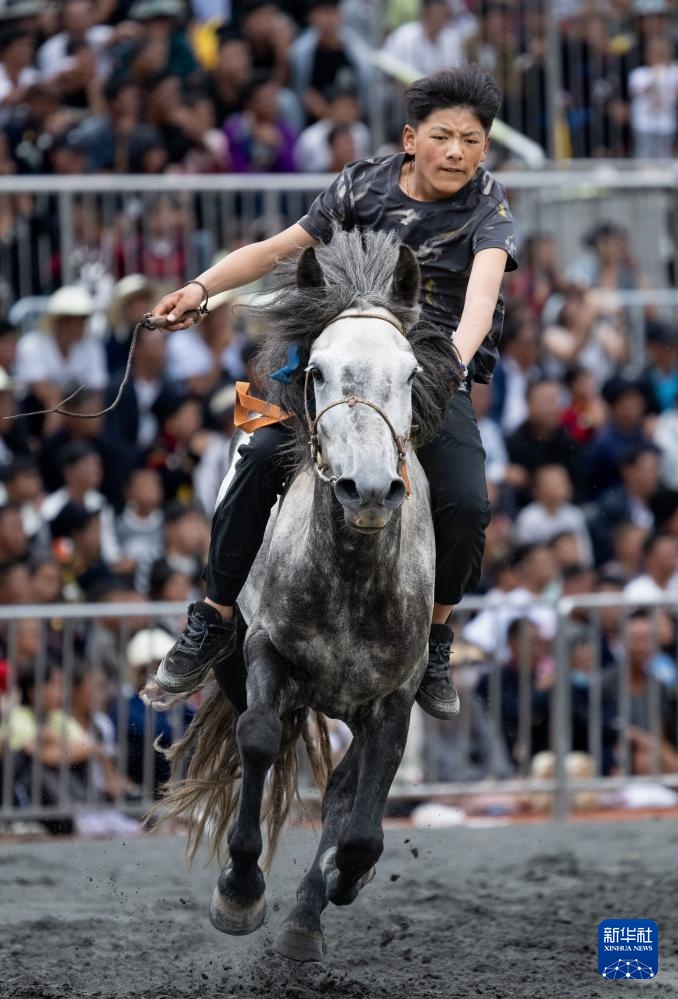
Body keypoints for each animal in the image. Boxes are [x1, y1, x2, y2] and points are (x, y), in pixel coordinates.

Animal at [156, 227, 462, 962]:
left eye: (410, 374)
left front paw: (342, 877)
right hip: (236, 660)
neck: (351, 576)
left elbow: (363, 817)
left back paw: (305, 917)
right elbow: (260, 740)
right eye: (317, 370)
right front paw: (239, 892)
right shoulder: (268, 653)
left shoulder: (394, 696)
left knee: (347, 789)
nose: (370, 491)